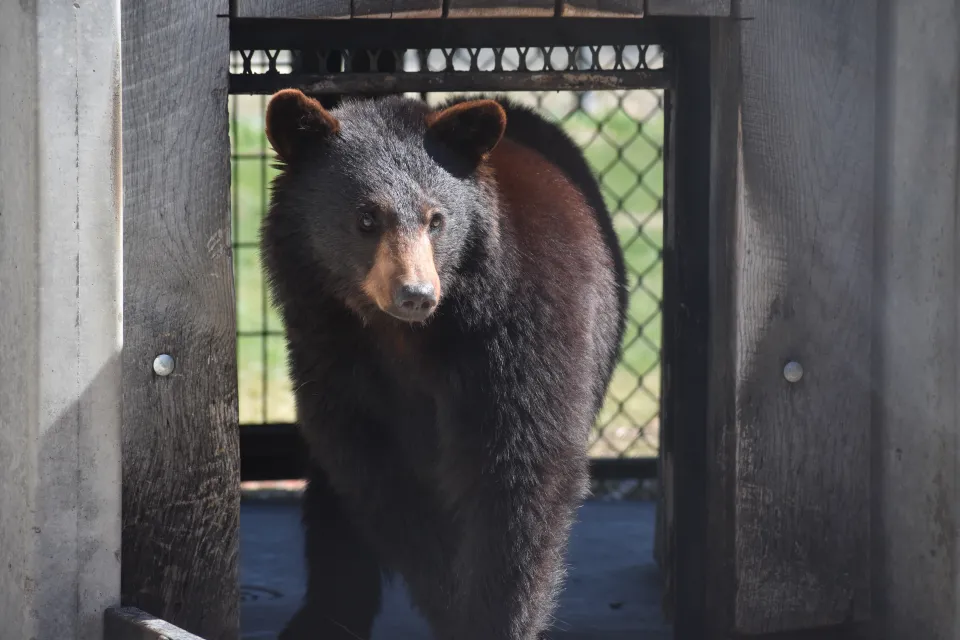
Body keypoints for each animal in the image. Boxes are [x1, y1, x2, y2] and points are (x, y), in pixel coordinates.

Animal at [260, 89, 627, 640]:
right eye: (366, 218)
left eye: (437, 220)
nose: (415, 293)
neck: (407, 336)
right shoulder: (329, 347)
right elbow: (374, 470)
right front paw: (446, 594)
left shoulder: (518, 329)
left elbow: (520, 465)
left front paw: (493, 618)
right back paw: (324, 616)